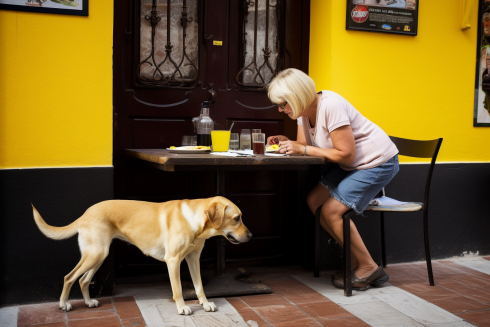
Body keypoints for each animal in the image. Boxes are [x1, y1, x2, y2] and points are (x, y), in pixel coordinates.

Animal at [32, 196, 251, 316]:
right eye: (236, 218)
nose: (250, 236)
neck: (194, 220)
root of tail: (85, 213)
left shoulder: (193, 260)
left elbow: (199, 287)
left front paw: (205, 304)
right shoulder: (173, 261)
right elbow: (178, 290)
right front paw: (182, 308)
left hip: (99, 255)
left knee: (83, 280)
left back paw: (88, 302)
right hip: (95, 254)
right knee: (69, 277)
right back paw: (63, 304)